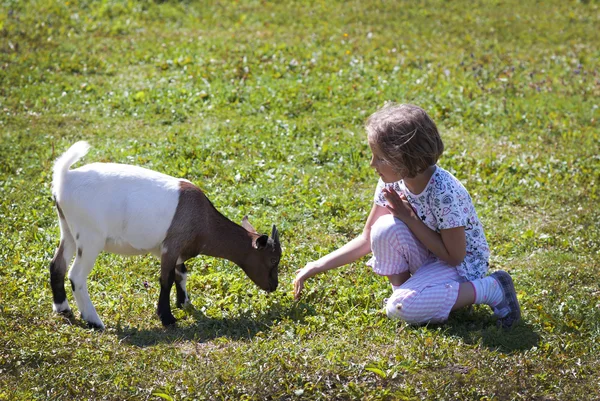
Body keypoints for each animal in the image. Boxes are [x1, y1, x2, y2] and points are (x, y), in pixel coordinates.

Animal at [49, 141, 282, 328]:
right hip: (90, 236)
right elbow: (166, 279)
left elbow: (182, 273)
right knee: (76, 275)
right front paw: (167, 318)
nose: (274, 286)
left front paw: (184, 303)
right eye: (273, 259)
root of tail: (65, 178)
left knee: (56, 264)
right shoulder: (171, 245)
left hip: (67, 229)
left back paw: (63, 308)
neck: (204, 219)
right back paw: (94, 321)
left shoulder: (173, 249)